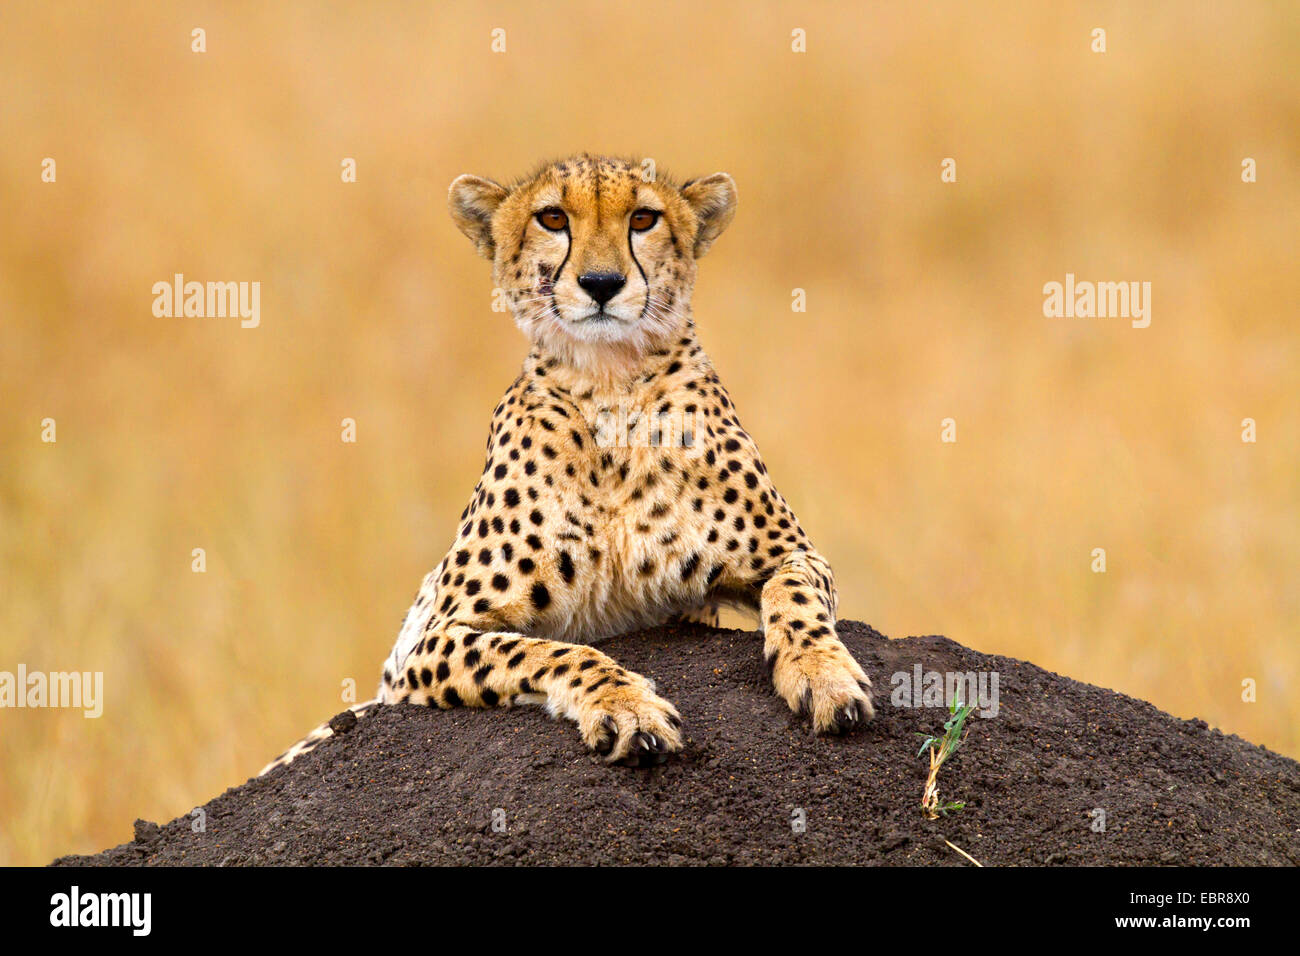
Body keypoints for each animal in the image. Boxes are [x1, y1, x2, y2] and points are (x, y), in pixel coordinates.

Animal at [261, 153, 873, 775]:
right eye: (552, 217)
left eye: (644, 218)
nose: (601, 283)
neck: (610, 383)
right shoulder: (434, 639)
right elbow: (551, 649)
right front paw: (627, 706)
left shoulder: (790, 552)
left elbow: (795, 594)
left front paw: (824, 675)